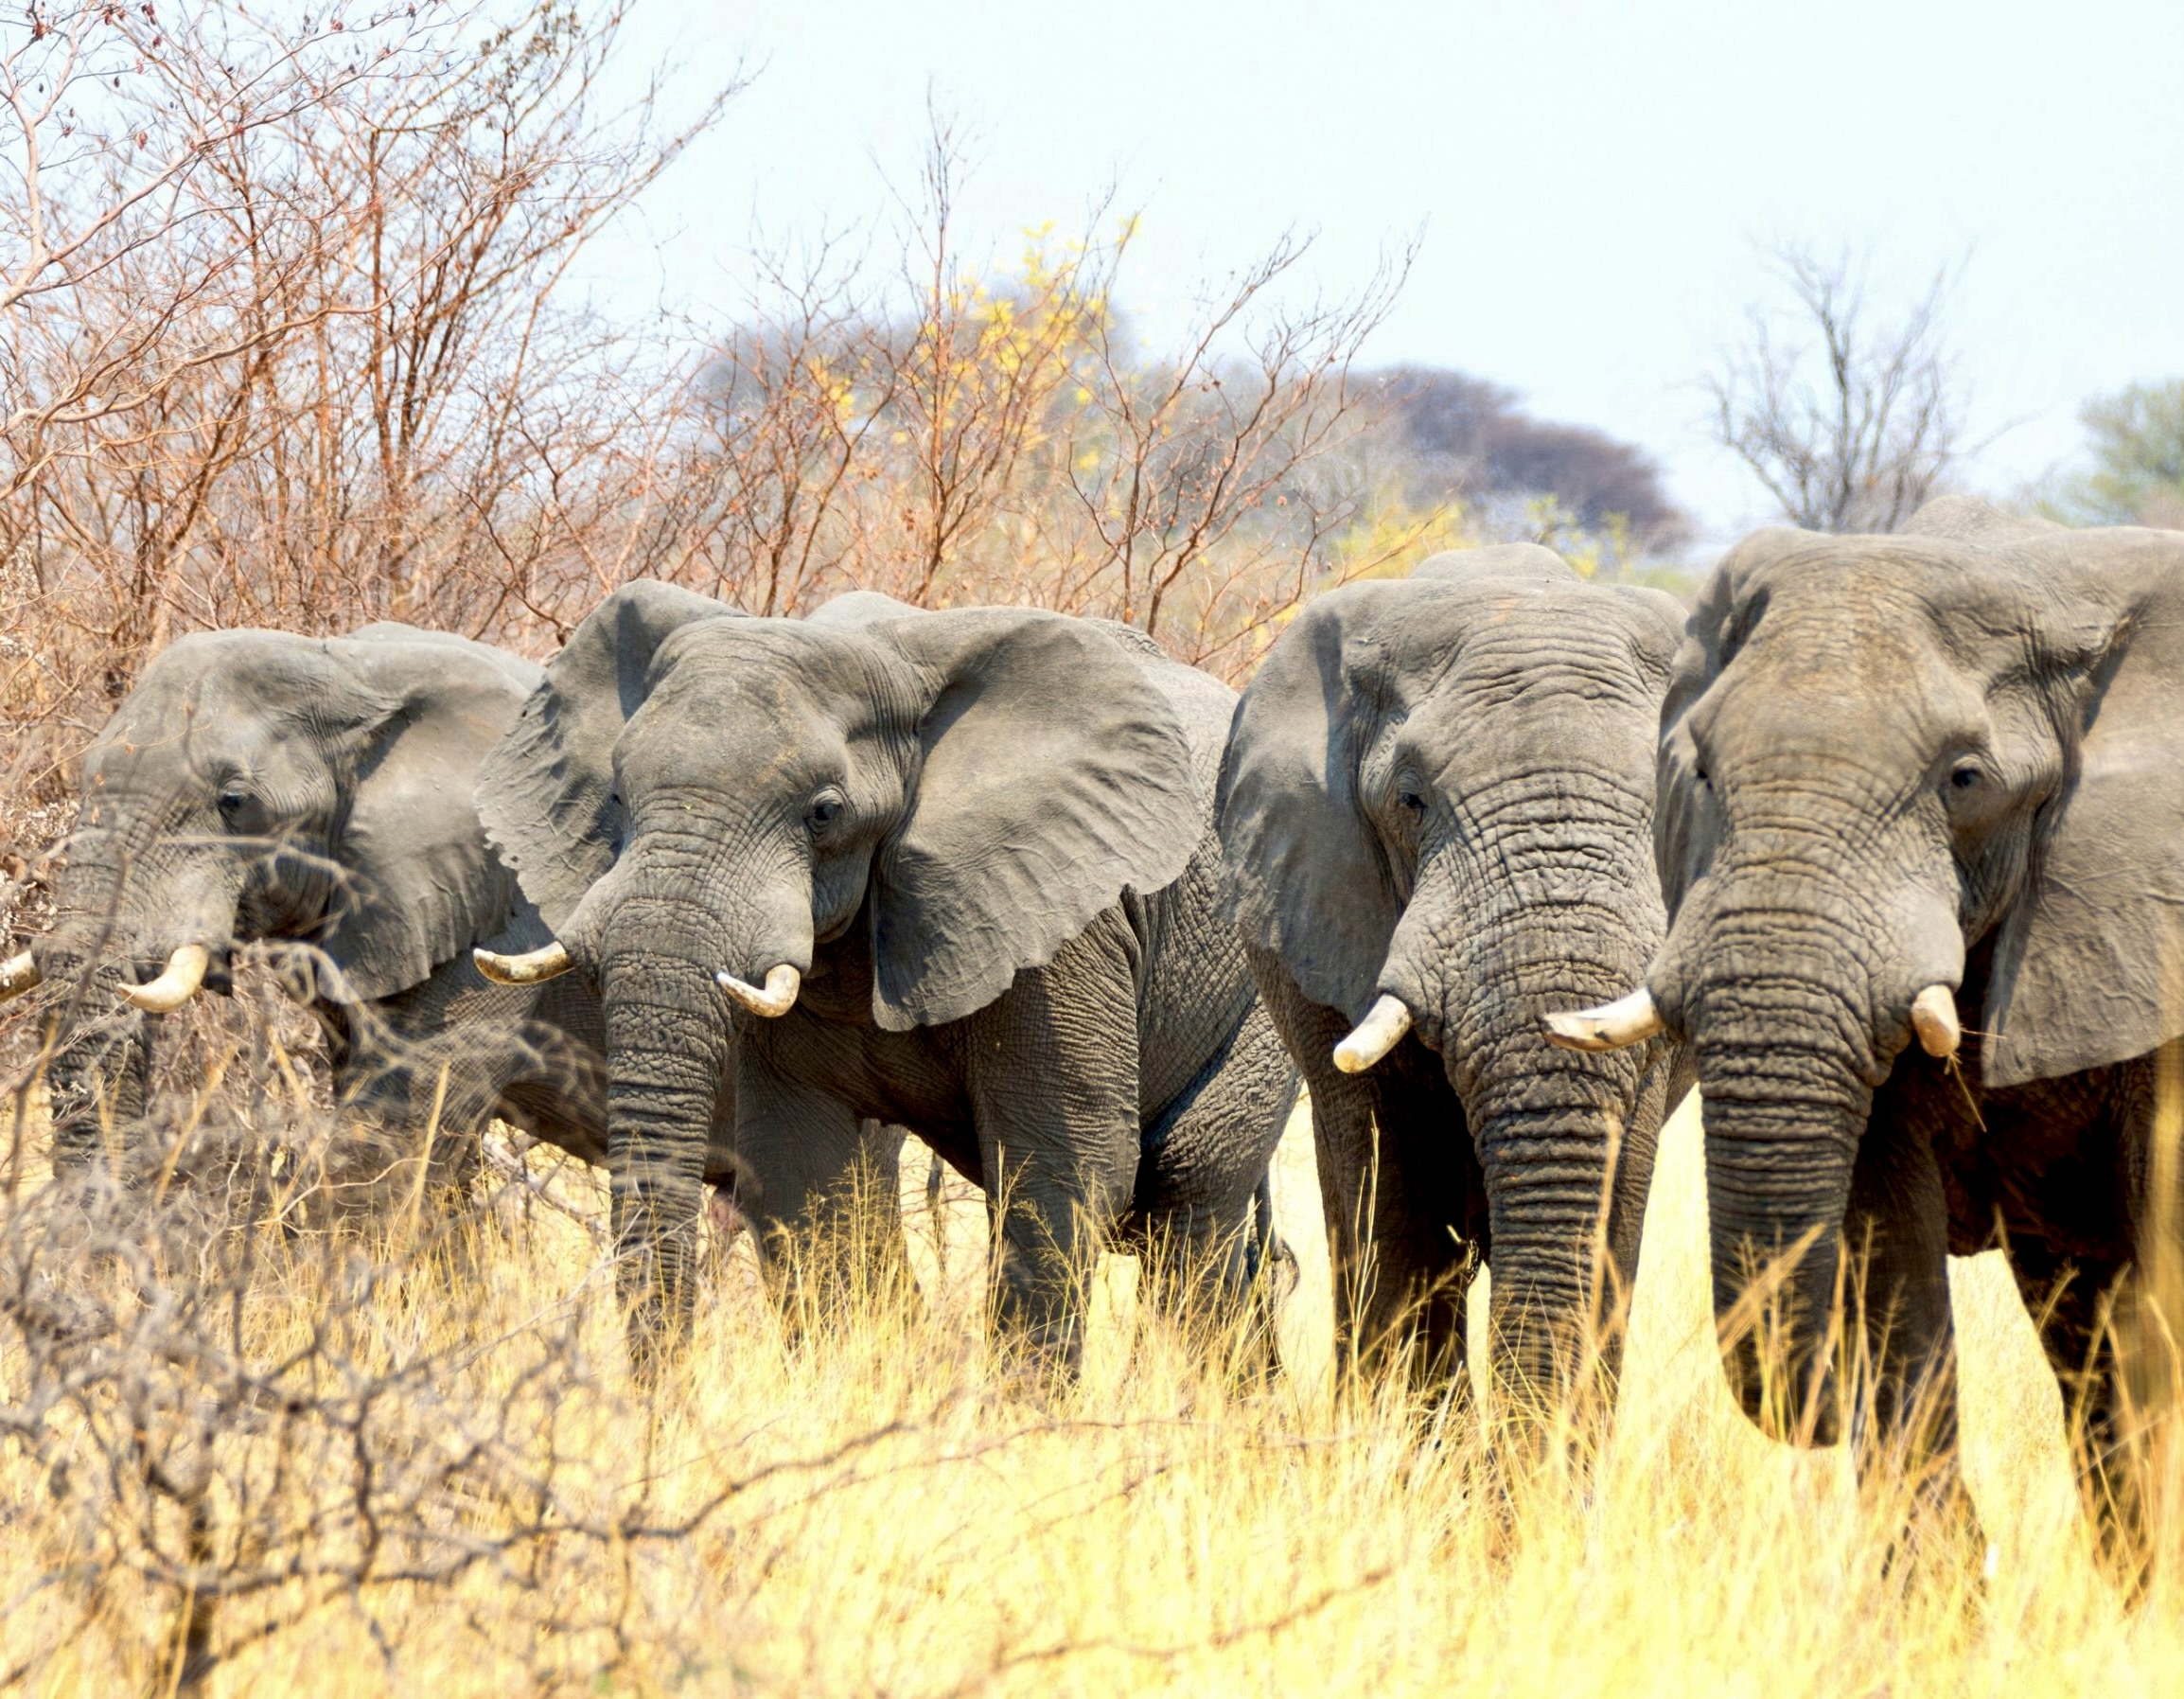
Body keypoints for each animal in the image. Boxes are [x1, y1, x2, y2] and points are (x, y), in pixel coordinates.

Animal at [473, 589, 1293, 1371]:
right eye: (616, 792)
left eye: (825, 812)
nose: (664, 1401)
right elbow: (801, 1170)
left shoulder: (1061, 920)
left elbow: (1062, 1168)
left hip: (1256, 998)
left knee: (1186, 1200)